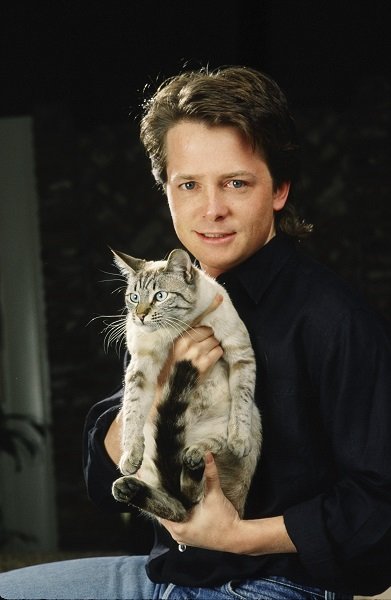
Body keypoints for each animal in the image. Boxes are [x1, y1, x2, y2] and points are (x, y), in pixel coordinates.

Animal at [112, 246, 262, 524]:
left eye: (160, 296)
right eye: (134, 297)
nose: (140, 316)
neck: (176, 329)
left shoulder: (239, 352)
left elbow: (242, 399)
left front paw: (239, 439)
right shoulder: (140, 368)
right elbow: (132, 412)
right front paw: (129, 456)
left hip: (244, 424)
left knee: (196, 490)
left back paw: (195, 457)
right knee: (181, 507)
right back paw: (128, 486)